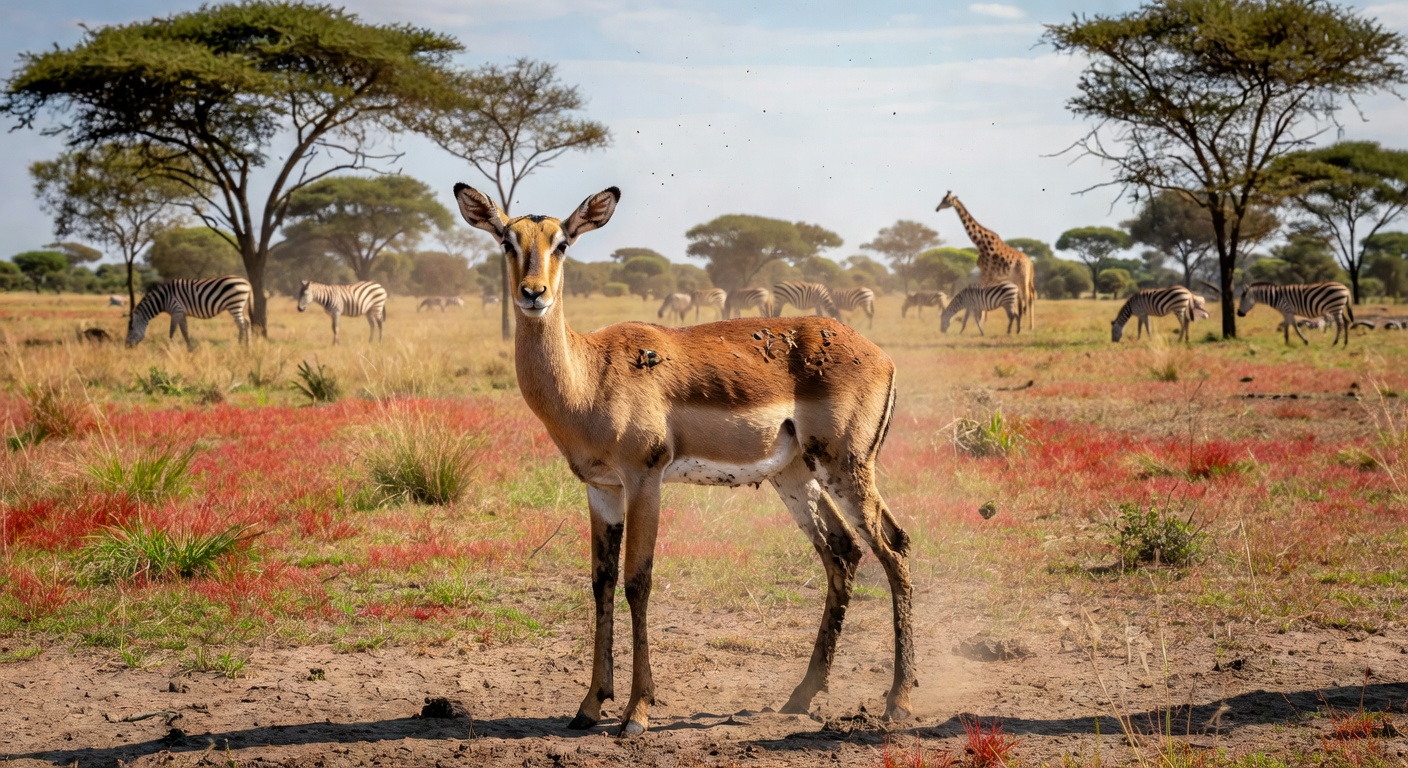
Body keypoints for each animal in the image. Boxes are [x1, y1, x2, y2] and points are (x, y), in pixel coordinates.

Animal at [453, 183, 915, 737]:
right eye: (507, 240)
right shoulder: (601, 489)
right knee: (843, 551)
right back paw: (801, 696)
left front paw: (637, 712)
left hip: (845, 467)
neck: (589, 375)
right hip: (794, 475)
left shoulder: (644, 481)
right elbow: (600, 583)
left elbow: (638, 582)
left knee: (894, 547)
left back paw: (898, 701)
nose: (533, 293)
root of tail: (882, 356)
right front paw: (589, 706)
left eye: (562, 242)